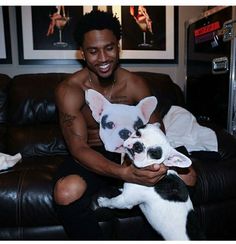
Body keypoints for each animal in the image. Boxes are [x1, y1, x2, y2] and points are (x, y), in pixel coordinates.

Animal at [85, 89, 204, 240]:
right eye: (137, 132)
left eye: (154, 153)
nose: (138, 146)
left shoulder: (125, 201)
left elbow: (112, 202)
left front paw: (103, 201)